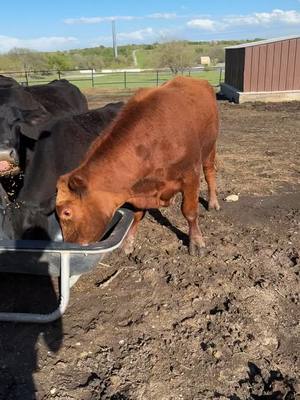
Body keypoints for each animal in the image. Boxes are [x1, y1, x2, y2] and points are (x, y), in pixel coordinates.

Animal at [56, 76, 219, 255]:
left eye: (66, 212)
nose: (70, 247)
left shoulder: (190, 174)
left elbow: (190, 212)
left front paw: (196, 241)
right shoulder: (138, 188)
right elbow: (136, 216)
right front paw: (128, 242)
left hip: (210, 148)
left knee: (210, 172)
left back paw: (213, 203)